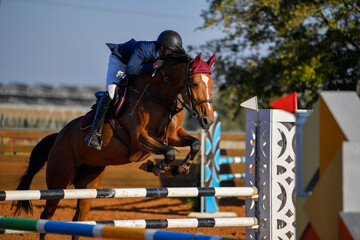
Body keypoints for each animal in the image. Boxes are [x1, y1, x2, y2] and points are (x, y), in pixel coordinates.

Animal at [12, 52, 217, 238]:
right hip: (59, 181)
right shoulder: (140, 139)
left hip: (88, 183)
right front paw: (158, 167)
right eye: (194, 83)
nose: (208, 120)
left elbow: (195, 144)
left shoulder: (173, 135)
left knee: (78, 220)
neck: (158, 96)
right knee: (46, 217)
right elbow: (170, 152)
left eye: (212, 84)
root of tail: (58, 137)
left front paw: (180, 168)